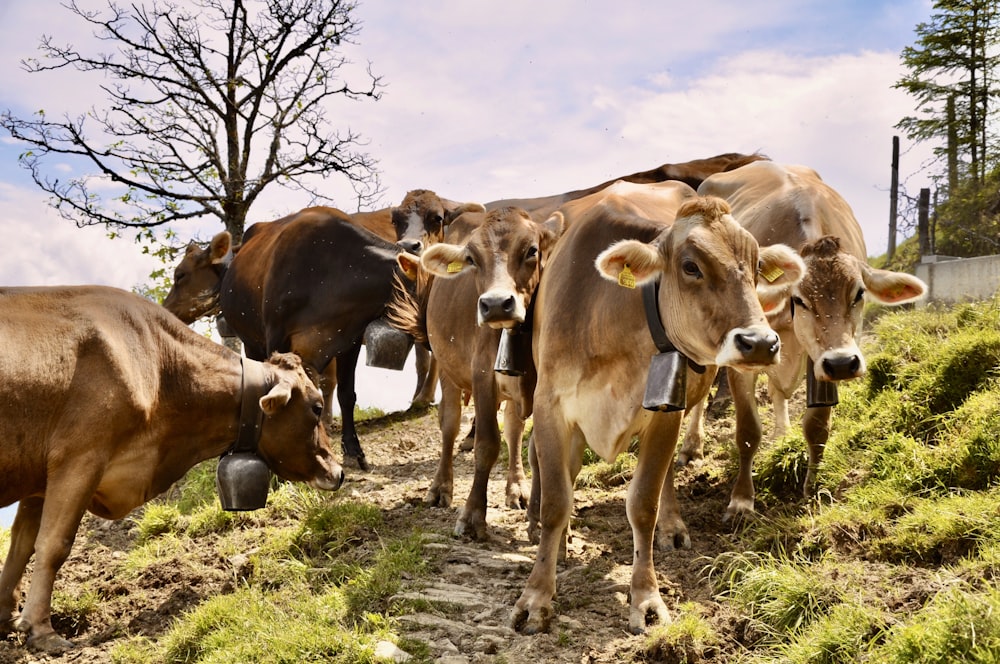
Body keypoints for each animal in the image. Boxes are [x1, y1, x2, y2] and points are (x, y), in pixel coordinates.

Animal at [0, 282, 344, 652]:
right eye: (316, 406)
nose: (338, 472)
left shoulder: (40, 478)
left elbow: (21, 546)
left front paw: (5, 617)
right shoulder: (79, 456)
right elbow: (54, 544)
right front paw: (41, 630)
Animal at [390, 208, 564, 540]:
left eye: (532, 250)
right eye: (471, 258)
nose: (496, 304)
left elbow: (537, 448)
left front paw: (537, 519)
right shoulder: (482, 374)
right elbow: (486, 444)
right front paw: (472, 516)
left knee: (513, 429)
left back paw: (516, 488)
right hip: (448, 369)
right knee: (449, 423)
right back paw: (440, 488)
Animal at [508, 180, 804, 632]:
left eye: (756, 266)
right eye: (690, 266)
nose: (760, 343)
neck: (609, 317)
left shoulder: (665, 411)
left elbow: (643, 503)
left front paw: (646, 599)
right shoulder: (551, 406)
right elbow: (558, 501)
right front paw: (536, 596)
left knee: (662, 482)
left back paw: (672, 526)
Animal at [688, 162, 928, 520]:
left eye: (859, 293)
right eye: (799, 299)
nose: (843, 363)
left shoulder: (824, 359)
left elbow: (817, 427)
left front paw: (812, 489)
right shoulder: (744, 359)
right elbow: (747, 431)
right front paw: (742, 501)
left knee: (778, 394)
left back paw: (781, 434)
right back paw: (691, 446)